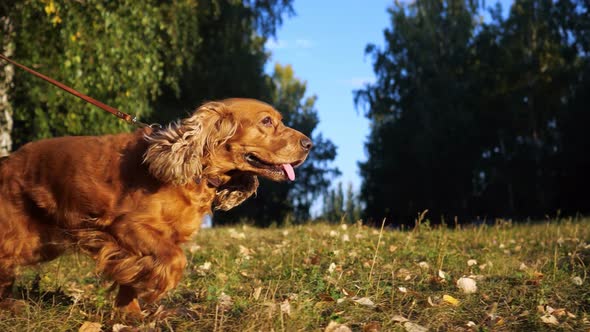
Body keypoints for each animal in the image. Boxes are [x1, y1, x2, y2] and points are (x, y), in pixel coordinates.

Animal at [0, 97, 314, 312]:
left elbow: (133, 276)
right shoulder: (128, 228)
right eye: (266, 122)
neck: (197, 172)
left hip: (42, 244)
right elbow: (176, 259)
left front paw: (129, 314)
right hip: (19, 238)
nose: (309, 144)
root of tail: (8, 160)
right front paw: (154, 290)